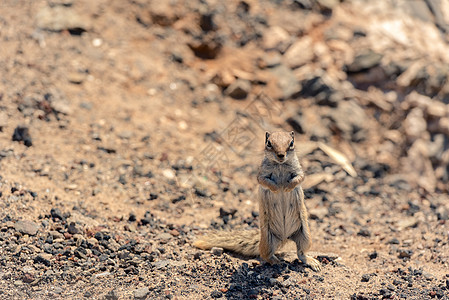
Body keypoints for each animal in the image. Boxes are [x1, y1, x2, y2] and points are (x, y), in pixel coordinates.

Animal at [192, 131, 318, 272]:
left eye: (291, 143)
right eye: (269, 143)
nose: (281, 155)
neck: (280, 164)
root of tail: (284, 237)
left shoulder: (298, 170)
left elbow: (299, 178)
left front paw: (286, 187)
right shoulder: (262, 174)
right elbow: (264, 181)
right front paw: (277, 188)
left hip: (305, 235)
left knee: (301, 253)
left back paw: (312, 262)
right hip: (268, 240)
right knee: (265, 255)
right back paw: (277, 261)